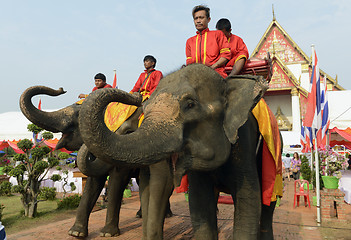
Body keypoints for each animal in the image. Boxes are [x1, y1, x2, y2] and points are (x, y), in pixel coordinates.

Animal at [19, 86, 173, 236]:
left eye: (77, 115)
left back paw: (166, 215)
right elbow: (94, 181)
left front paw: (107, 233)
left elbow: (117, 180)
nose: (61, 89)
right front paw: (75, 232)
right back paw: (140, 215)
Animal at [78, 64, 282, 240]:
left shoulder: (244, 139)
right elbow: (199, 204)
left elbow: (249, 202)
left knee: (268, 203)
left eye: (190, 104)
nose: (137, 95)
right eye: (146, 108)